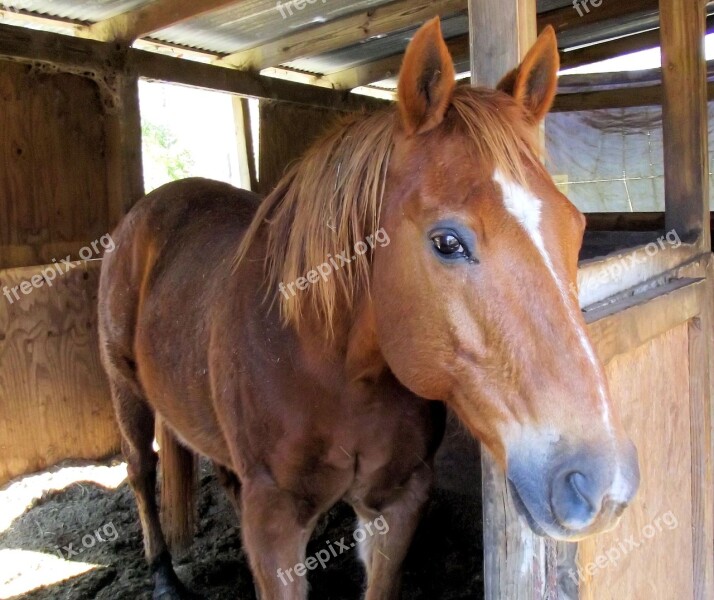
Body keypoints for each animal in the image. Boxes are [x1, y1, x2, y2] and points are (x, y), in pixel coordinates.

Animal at [97, 17, 636, 600]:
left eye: (576, 228)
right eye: (447, 242)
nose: (601, 484)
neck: (331, 368)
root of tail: (150, 206)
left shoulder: (398, 500)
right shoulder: (274, 523)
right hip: (126, 393)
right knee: (141, 472)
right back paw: (163, 577)